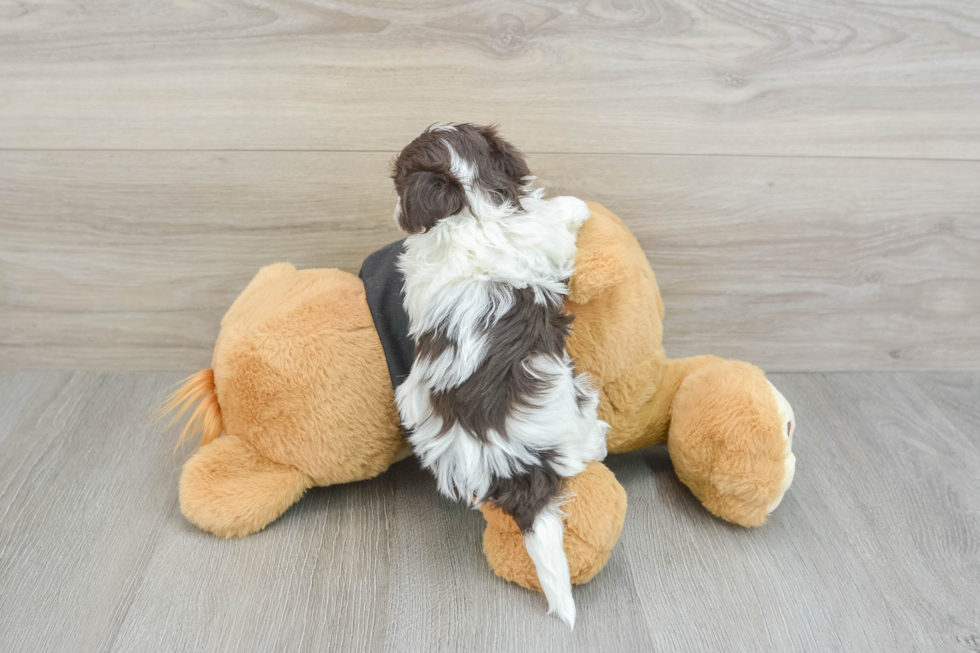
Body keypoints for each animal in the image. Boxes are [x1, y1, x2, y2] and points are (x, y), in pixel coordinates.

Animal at [388, 123, 604, 628]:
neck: (470, 206)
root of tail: (519, 471)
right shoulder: (541, 236)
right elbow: (557, 218)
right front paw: (578, 206)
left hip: (414, 405)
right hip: (577, 399)